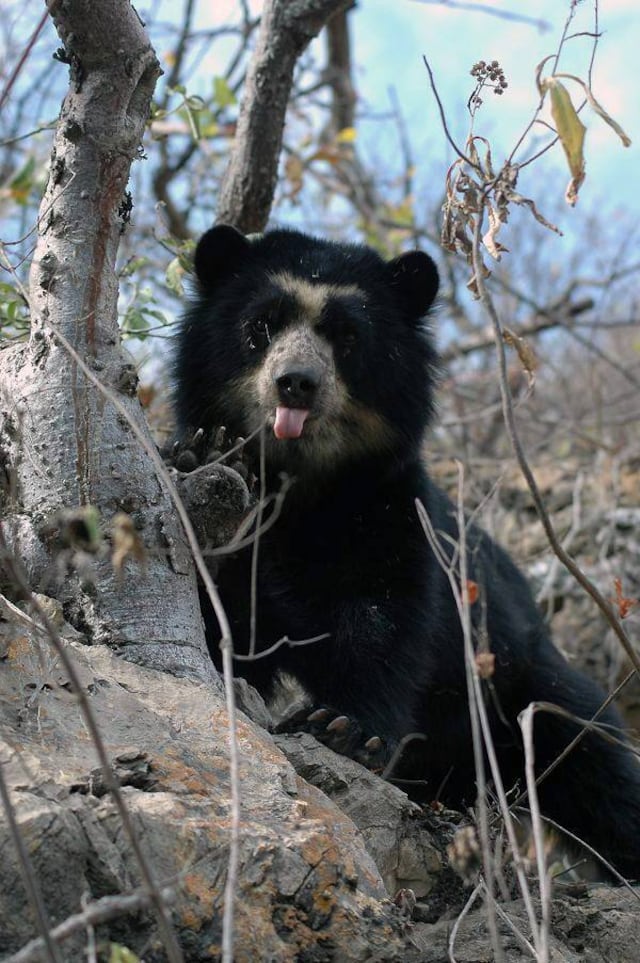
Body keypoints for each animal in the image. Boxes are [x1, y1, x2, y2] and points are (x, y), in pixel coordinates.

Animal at [174, 224, 640, 879]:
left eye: (348, 337)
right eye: (261, 325)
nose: (296, 383)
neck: (306, 485)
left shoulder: (395, 513)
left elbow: (386, 620)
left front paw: (345, 729)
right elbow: (225, 618)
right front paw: (207, 462)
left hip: (523, 684)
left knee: (597, 767)